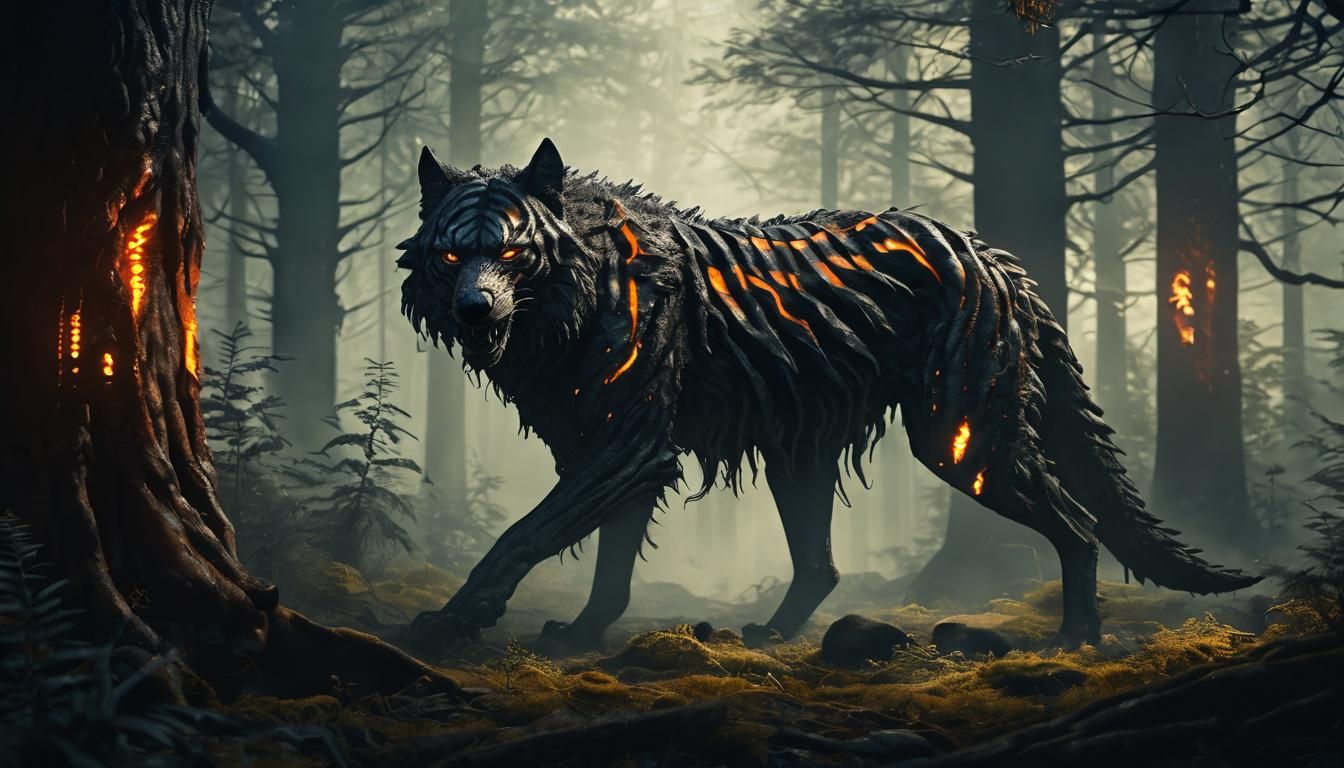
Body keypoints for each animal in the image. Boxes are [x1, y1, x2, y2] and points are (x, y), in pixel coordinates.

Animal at [399, 138, 1257, 650]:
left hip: (961, 439)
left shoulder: (627, 447)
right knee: (821, 565)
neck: (575, 297)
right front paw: (581, 634)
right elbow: (608, 561)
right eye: (451, 255)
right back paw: (770, 634)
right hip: (801, 450)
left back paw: (1076, 637)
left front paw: (449, 622)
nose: (476, 311)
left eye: (511, 249)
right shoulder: (614, 446)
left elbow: (523, 535)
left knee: (1078, 522)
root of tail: (992, 256)